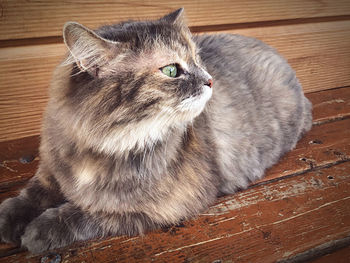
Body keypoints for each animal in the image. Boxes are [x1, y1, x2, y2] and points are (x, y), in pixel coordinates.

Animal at [0, 8, 312, 255]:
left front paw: (41, 230)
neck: (102, 146)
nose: (210, 80)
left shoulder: (159, 206)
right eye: (172, 71)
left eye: (198, 60)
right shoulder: (52, 170)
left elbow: (88, 213)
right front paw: (9, 219)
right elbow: (31, 194)